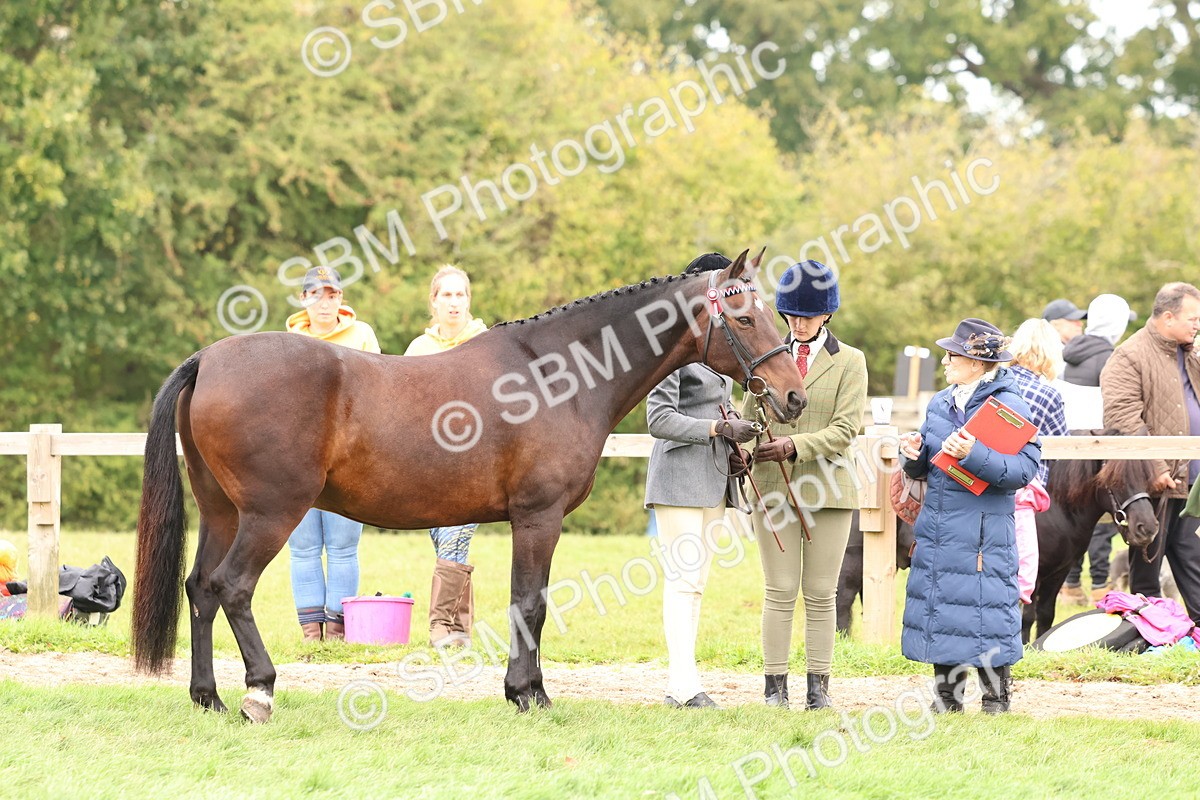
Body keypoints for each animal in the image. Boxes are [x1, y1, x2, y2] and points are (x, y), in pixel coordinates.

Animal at [131, 249, 808, 722]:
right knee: (233, 588)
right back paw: (259, 694)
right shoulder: (538, 516)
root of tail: (209, 359)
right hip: (273, 513)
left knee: (201, 588)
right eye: (743, 315)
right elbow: (529, 603)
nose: (793, 396)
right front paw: (526, 695)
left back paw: (208, 698)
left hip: (223, 512)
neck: (557, 374)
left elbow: (529, 603)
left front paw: (529, 691)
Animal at [1021, 431, 1160, 643]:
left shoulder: (1058, 573)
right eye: (1114, 479)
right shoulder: (1034, 575)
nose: (1147, 528)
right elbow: (1027, 618)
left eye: (1145, 476)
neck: (1054, 513)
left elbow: (1045, 615)